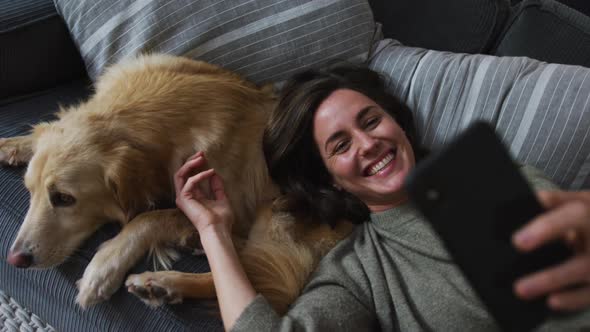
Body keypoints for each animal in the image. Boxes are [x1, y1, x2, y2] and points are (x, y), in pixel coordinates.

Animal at [0, 54, 354, 314]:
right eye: (29, 191)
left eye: (64, 198)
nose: (16, 259)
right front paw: (13, 144)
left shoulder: (230, 208)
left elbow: (149, 217)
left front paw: (104, 266)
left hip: (274, 218)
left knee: (247, 280)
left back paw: (162, 283)